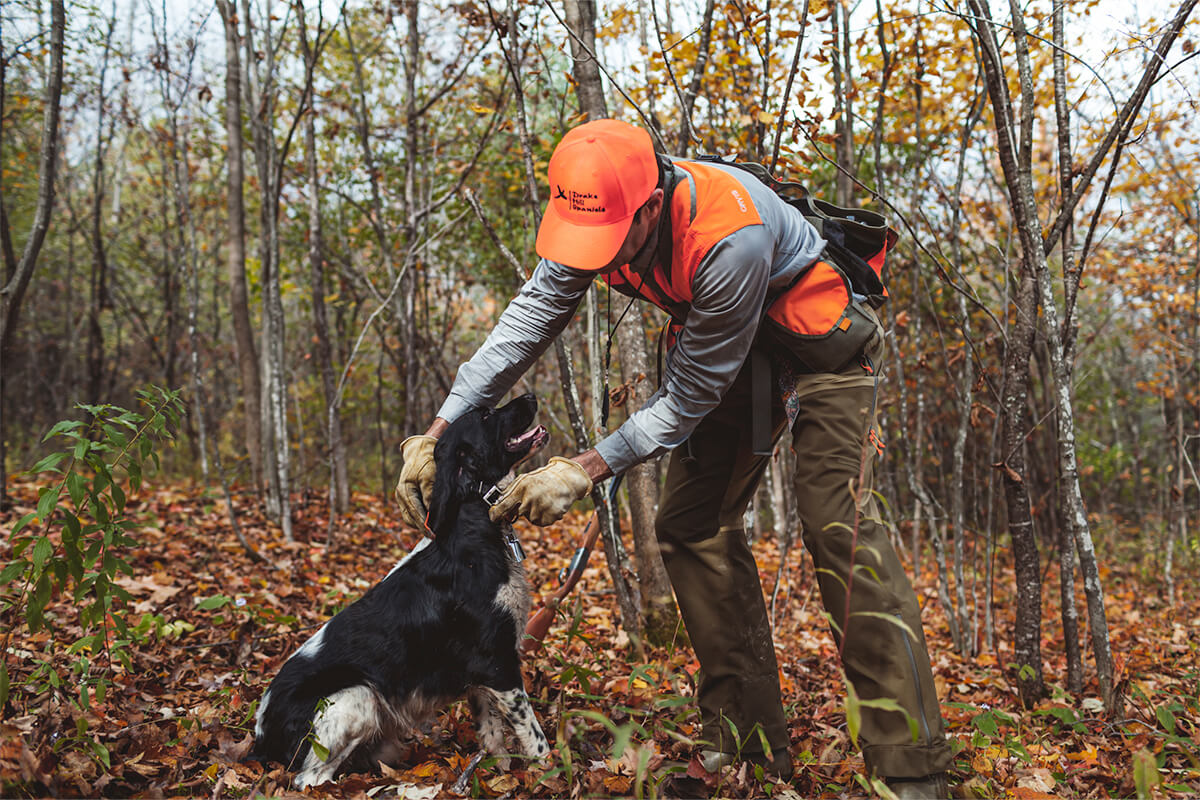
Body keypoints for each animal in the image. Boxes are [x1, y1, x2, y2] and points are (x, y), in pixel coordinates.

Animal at [255, 393, 554, 786]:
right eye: (487, 414)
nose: (532, 396)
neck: (473, 526)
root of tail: (260, 736)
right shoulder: (497, 663)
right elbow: (535, 738)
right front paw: (555, 776)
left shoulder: (480, 674)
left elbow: (492, 737)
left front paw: (499, 777)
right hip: (358, 696)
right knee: (310, 780)